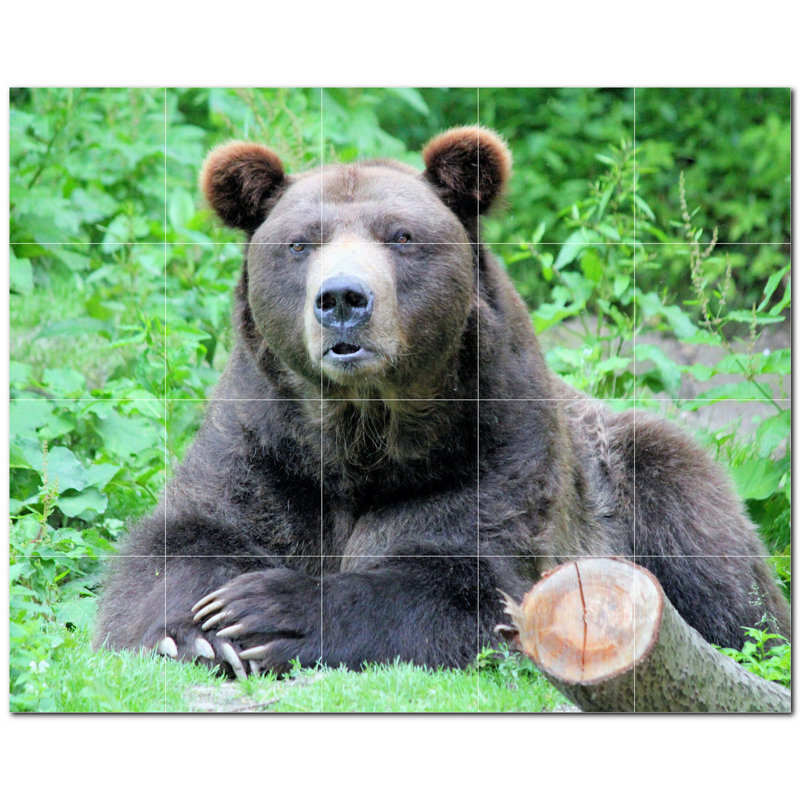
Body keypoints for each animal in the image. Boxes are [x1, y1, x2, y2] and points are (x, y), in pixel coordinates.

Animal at [94, 127, 790, 679]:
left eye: (400, 236)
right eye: (299, 243)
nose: (342, 299)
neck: (361, 432)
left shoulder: (489, 450)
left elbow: (464, 583)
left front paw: (267, 613)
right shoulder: (264, 441)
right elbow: (186, 537)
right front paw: (200, 631)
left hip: (641, 474)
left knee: (720, 569)